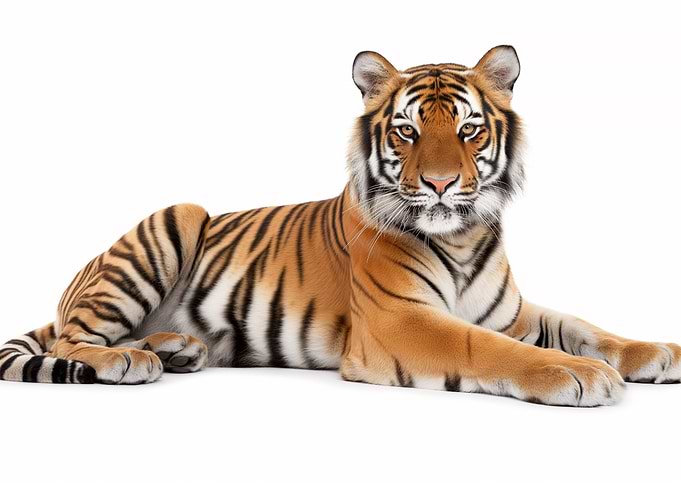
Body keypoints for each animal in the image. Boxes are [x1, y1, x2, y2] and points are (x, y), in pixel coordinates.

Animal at [1, 45, 679, 407]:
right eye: (406, 130)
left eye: (469, 130)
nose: (439, 184)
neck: (461, 236)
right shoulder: (399, 320)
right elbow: (488, 347)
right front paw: (580, 374)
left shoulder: (508, 311)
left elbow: (581, 325)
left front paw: (654, 353)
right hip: (177, 216)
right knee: (71, 342)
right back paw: (128, 360)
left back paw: (177, 348)